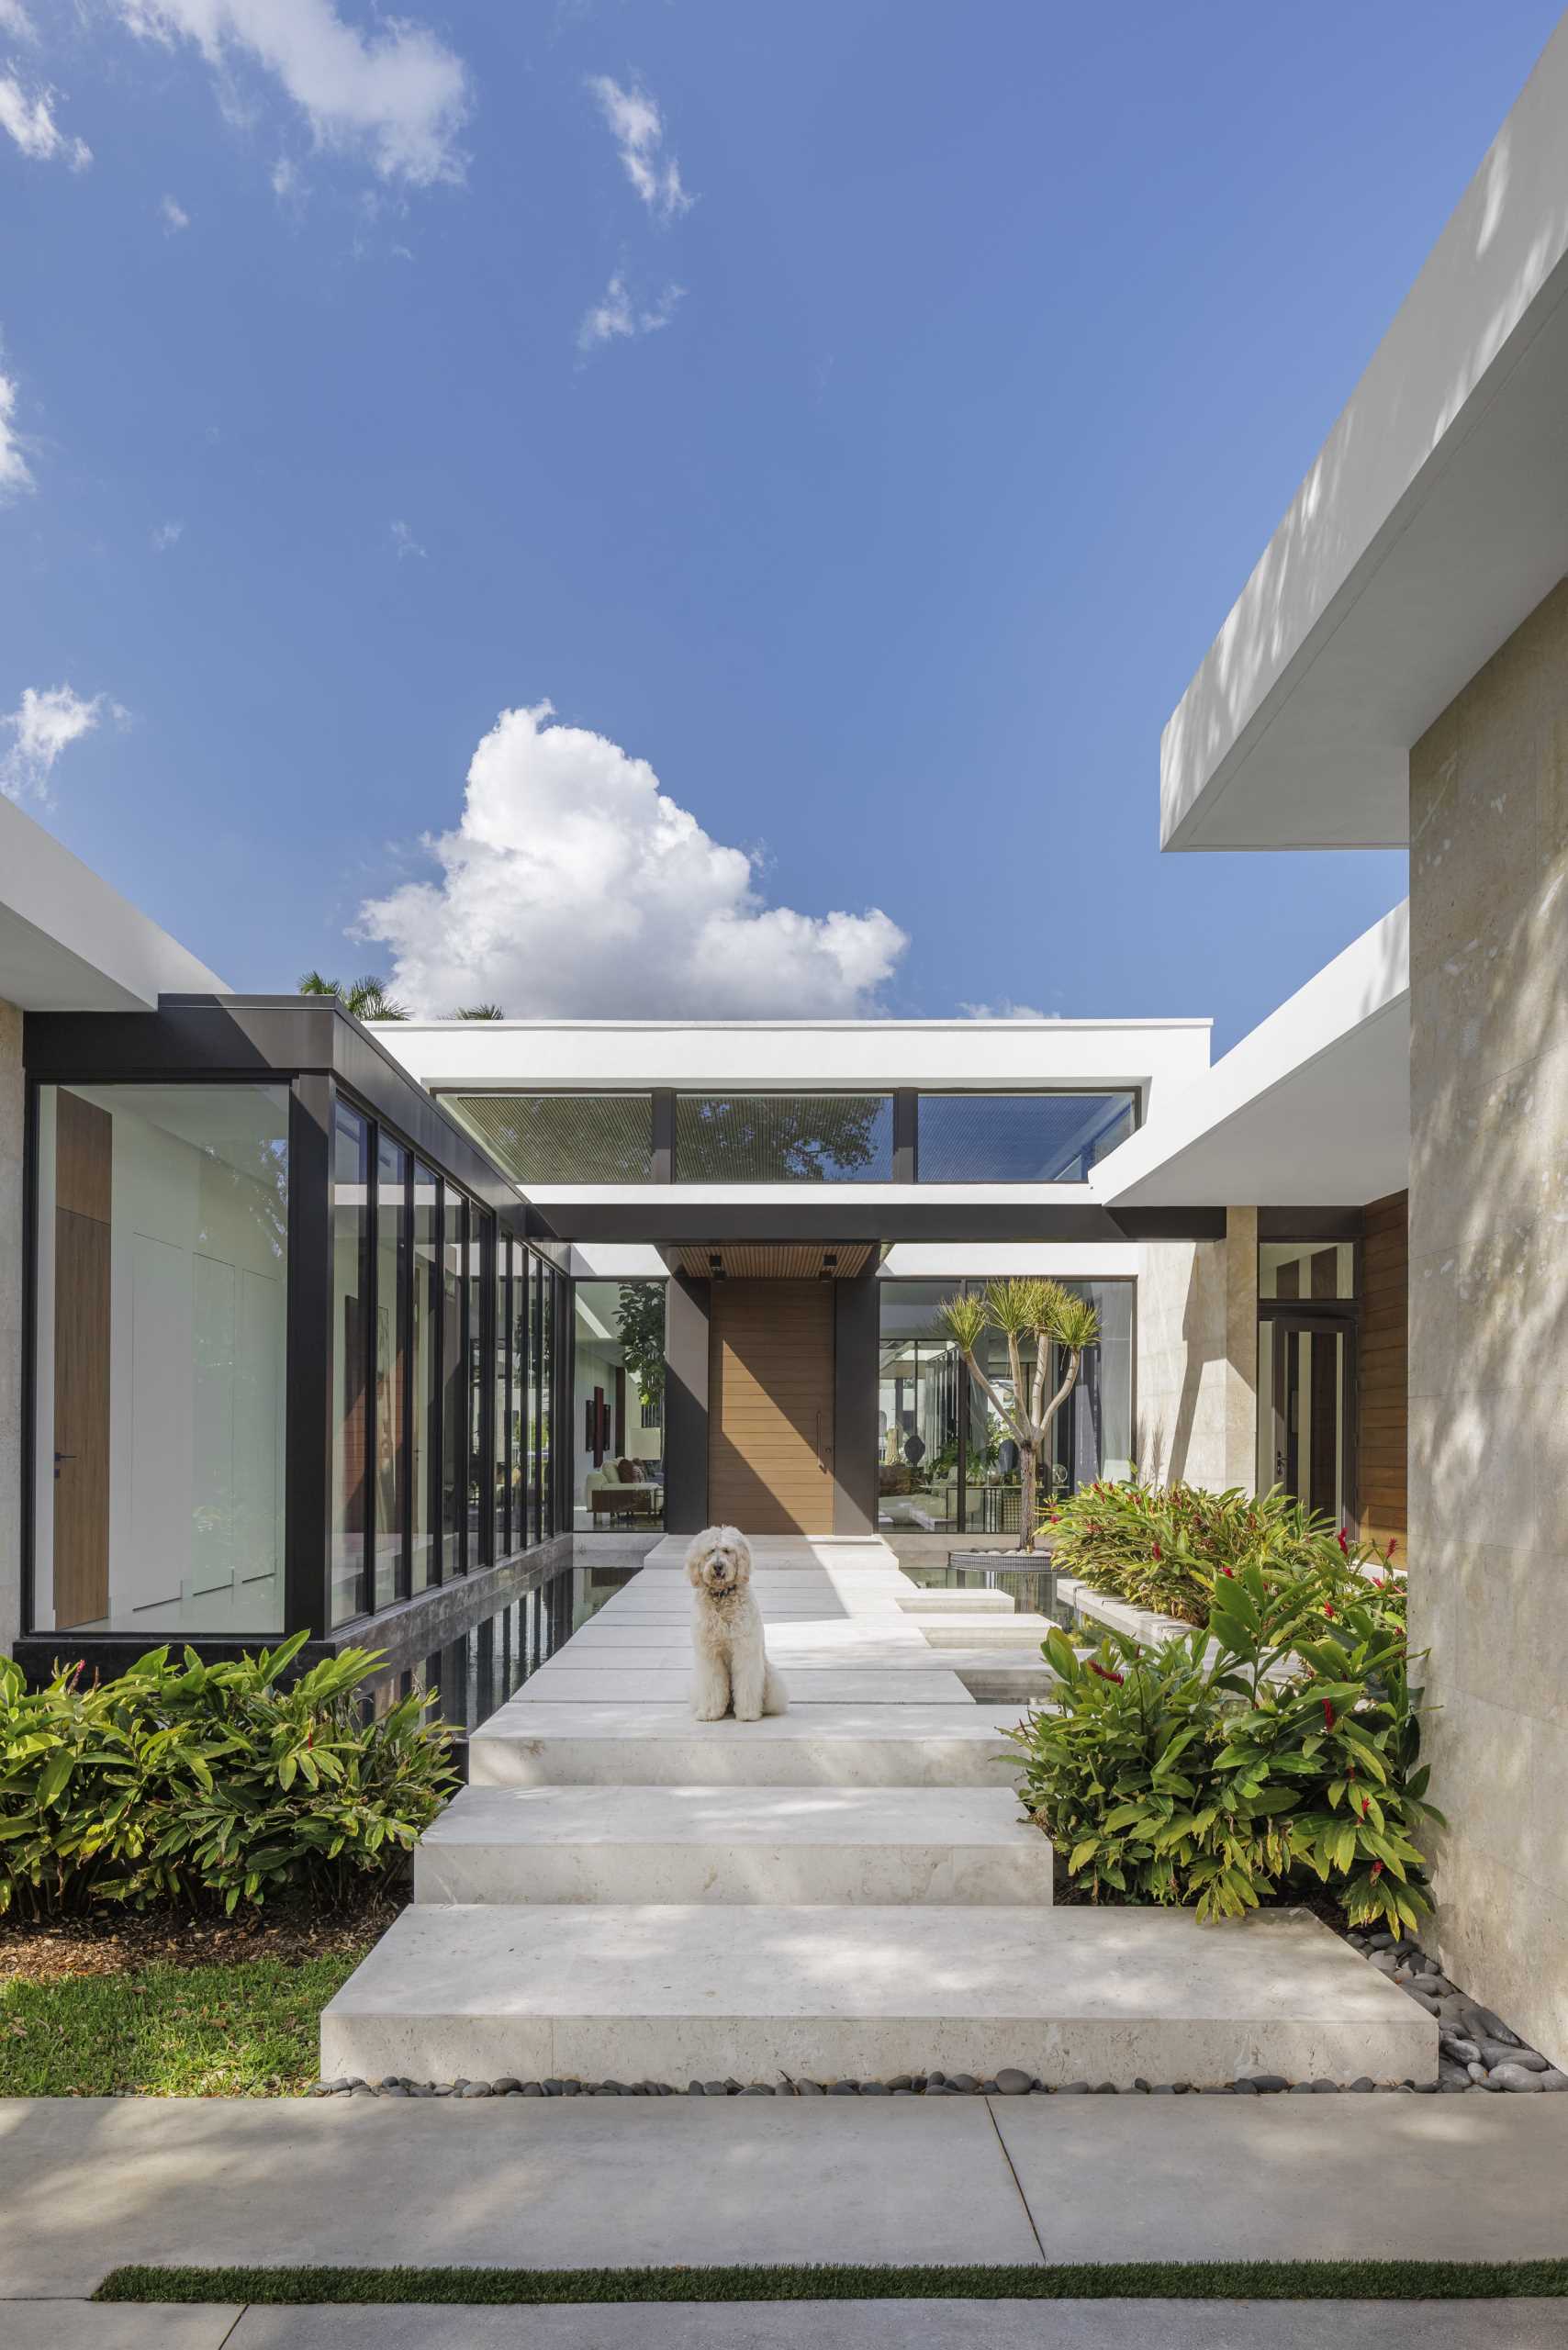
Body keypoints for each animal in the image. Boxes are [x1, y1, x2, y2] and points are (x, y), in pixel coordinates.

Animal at [686, 1522, 790, 1729]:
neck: (722, 1596)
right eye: (711, 1551)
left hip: (770, 1677)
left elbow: (746, 1685)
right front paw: (709, 1713)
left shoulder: (745, 1651)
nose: (718, 1567)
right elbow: (712, 1686)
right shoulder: (710, 1655)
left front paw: (748, 1714)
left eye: (727, 1550)